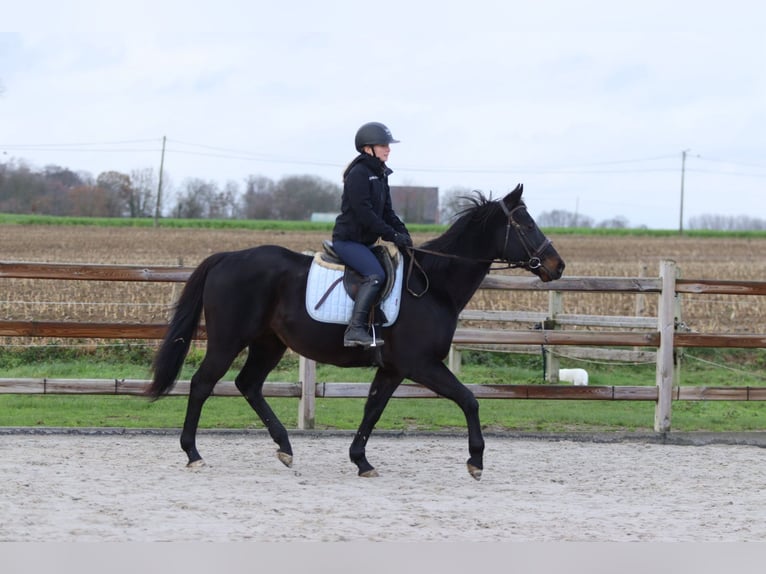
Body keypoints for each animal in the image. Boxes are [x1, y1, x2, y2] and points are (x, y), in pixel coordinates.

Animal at [147, 183, 565, 479]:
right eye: (527, 224)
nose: (557, 266)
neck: (434, 285)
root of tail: (226, 258)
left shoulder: (394, 369)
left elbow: (373, 409)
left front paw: (361, 460)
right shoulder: (421, 364)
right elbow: (469, 400)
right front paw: (476, 460)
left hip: (269, 344)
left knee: (248, 384)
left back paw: (285, 448)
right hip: (228, 340)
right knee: (202, 384)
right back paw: (193, 454)